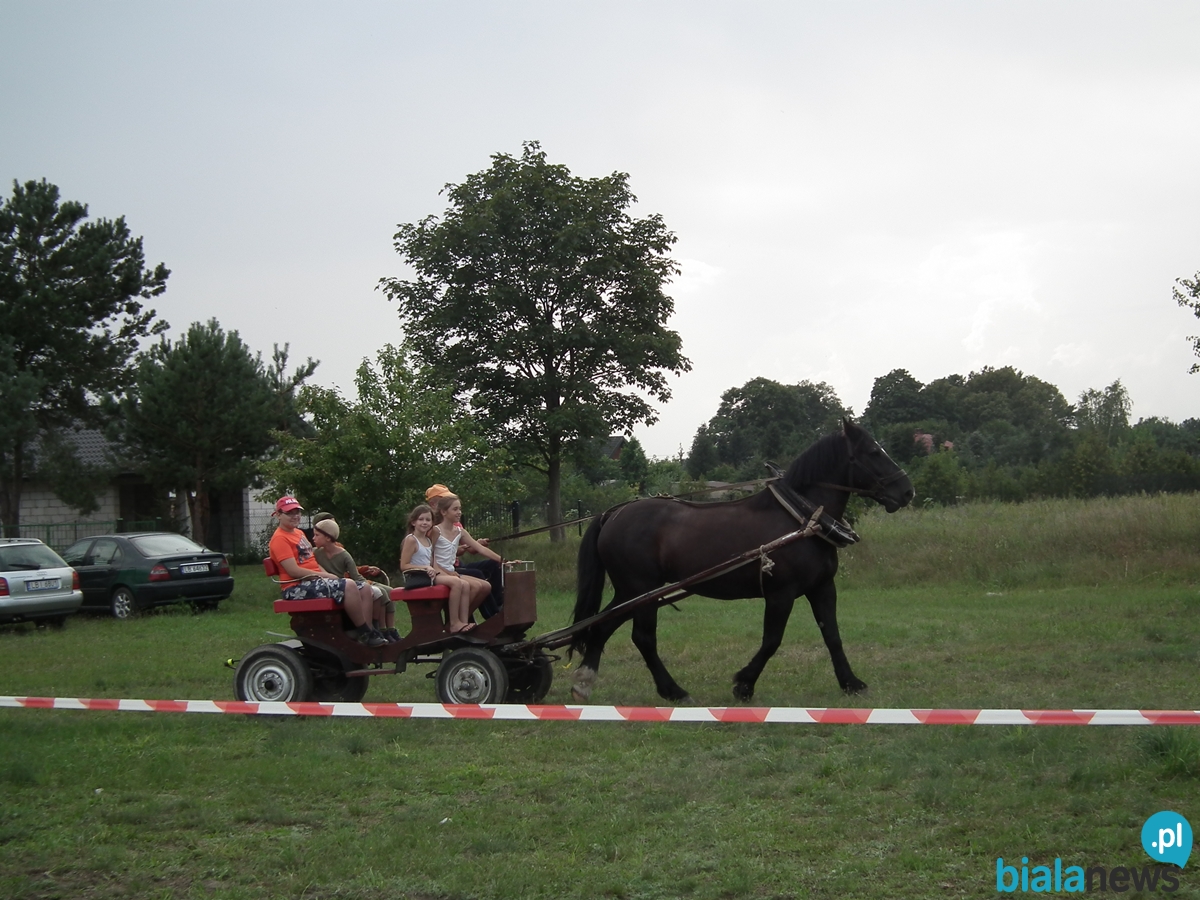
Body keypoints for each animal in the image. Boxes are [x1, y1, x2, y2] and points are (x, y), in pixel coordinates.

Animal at [569, 419, 914, 704]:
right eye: (873, 451)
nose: (907, 491)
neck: (801, 518)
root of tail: (614, 512)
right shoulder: (780, 593)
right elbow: (772, 640)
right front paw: (744, 684)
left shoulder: (822, 588)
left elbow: (832, 635)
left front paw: (851, 683)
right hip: (642, 589)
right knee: (642, 638)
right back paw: (673, 691)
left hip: (631, 591)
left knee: (602, 626)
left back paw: (584, 681)